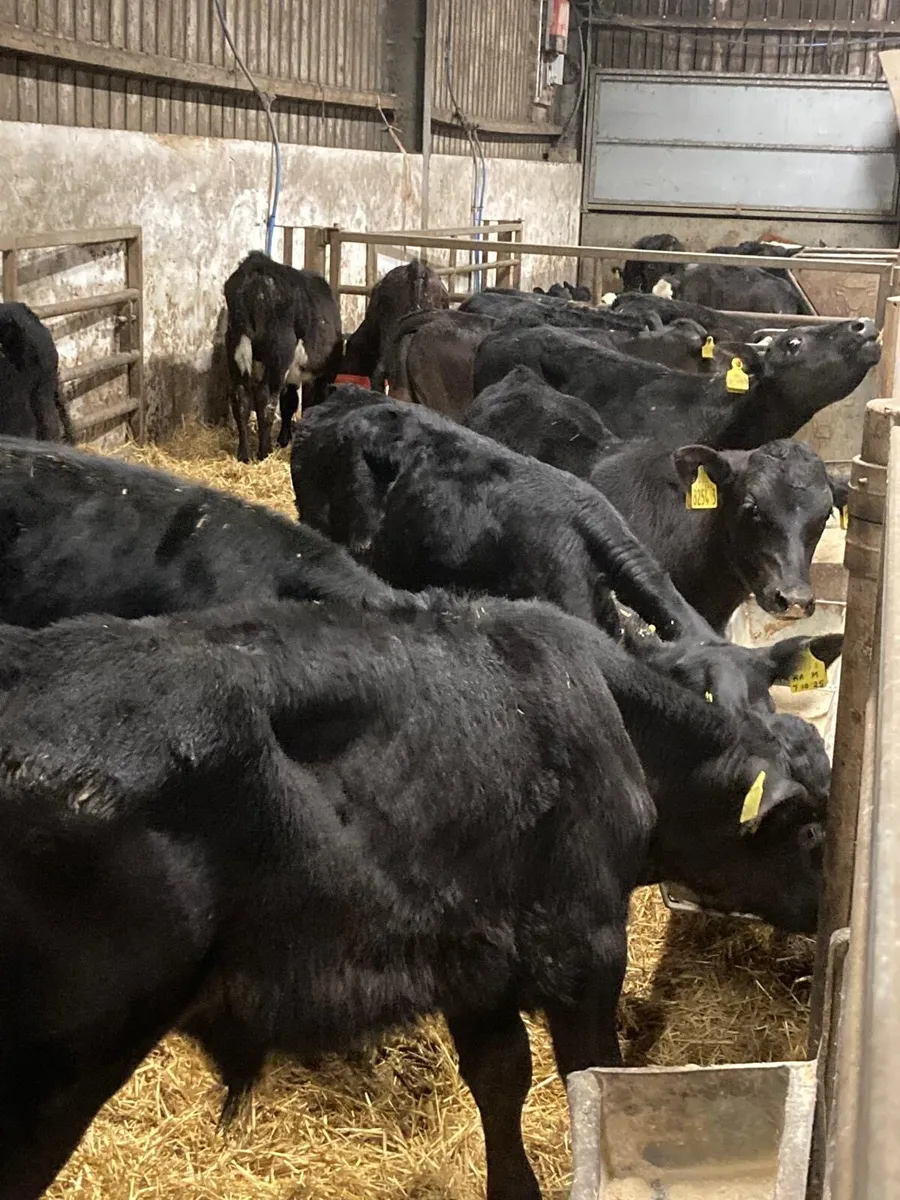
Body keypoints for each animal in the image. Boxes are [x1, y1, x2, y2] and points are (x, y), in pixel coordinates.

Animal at [0, 592, 826, 1199]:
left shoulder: (471, 952)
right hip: (55, 1074)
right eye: (813, 831)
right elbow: (594, 1079)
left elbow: (500, 1077)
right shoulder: (582, 948)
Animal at [223, 251, 342, 462]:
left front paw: (284, 438)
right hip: (278, 356)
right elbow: (294, 402)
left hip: (235, 350)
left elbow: (289, 402)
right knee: (266, 400)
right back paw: (264, 451)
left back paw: (244, 454)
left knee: (240, 398)